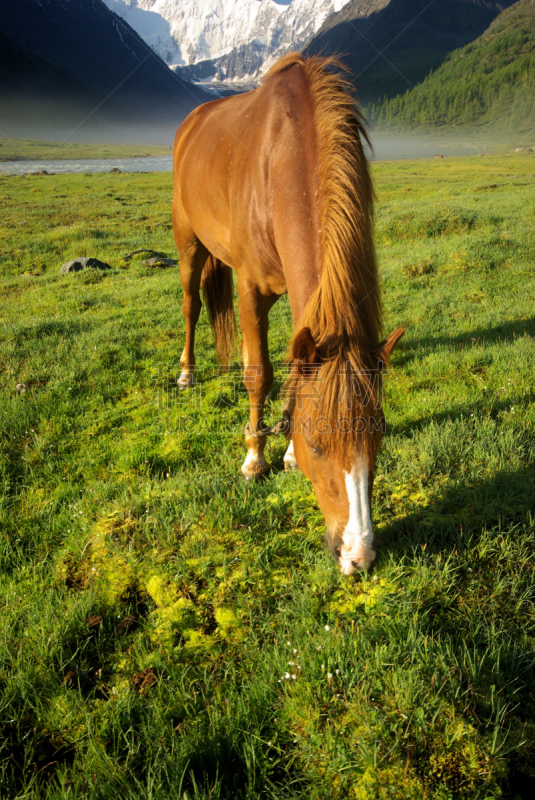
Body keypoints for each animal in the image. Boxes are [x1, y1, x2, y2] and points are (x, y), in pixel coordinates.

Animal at [174, 51, 404, 576]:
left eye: (379, 438)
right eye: (319, 444)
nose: (358, 555)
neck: (281, 165)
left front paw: (287, 454)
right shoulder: (250, 289)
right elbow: (258, 373)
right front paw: (254, 458)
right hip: (188, 242)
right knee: (191, 306)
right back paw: (187, 372)